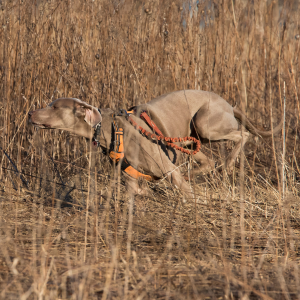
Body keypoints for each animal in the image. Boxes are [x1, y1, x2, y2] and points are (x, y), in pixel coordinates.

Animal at [27, 89, 282, 199]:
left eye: (54, 107)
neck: (112, 128)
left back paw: (227, 165)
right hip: (190, 139)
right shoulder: (131, 179)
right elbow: (136, 193)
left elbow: (185, 191)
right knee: (205, 160)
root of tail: (229, 104)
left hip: (205, 124)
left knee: (243, 135)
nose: (30, 113)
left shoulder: (166, 168)